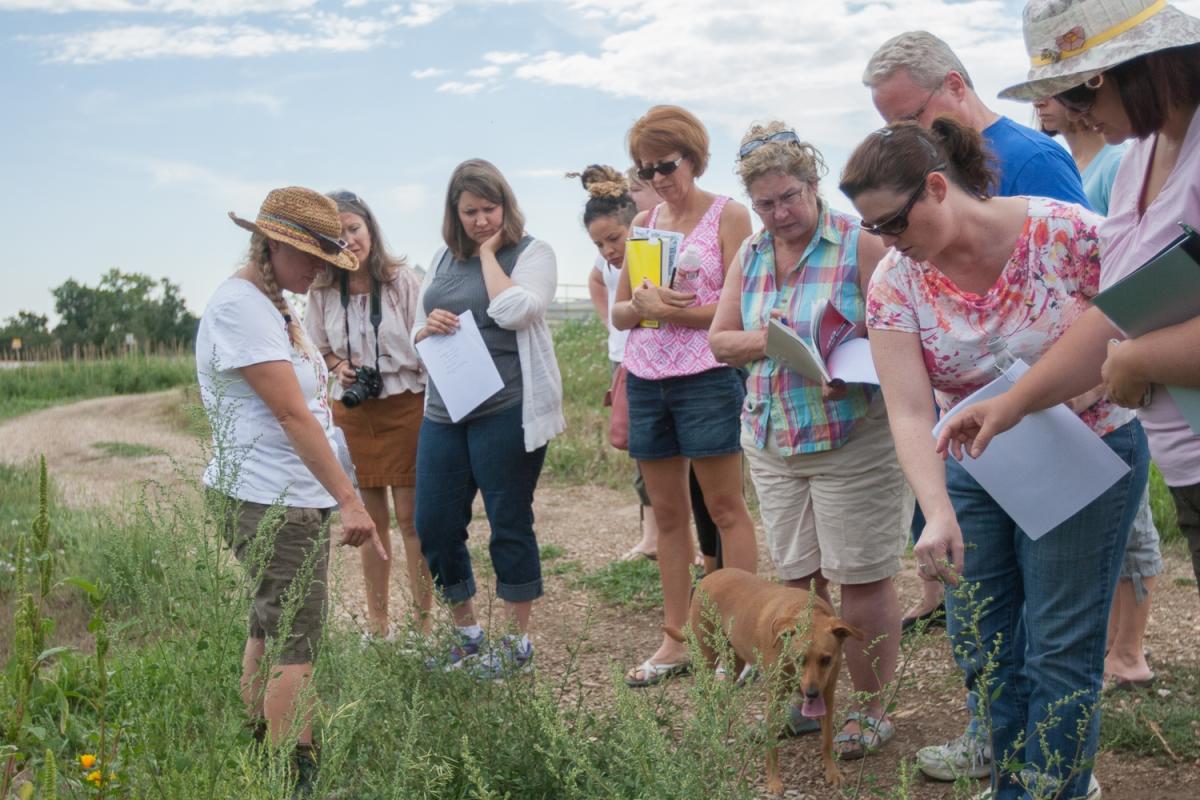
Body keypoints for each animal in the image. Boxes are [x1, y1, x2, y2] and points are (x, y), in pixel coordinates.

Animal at [667, 568, 864, 796]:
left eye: (826, 659)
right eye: (800, 659)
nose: (811, 694)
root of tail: (711, 575)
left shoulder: (828, 694)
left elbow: (826, 740)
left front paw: (833, 772)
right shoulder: (775, 699)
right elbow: (772, 746)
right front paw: (773, 781)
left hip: (736, 662)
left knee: (723, 695)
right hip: (708, 657)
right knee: (706, 695)